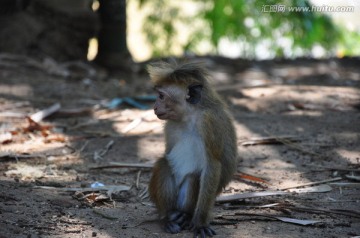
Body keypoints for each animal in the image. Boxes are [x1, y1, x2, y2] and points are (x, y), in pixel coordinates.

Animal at [148, 61, 238, 236]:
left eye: (161, 96)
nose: (154, 107)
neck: (189, 117)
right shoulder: (170, 126)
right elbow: (168, 154)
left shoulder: (209, 123)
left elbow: (213, 165)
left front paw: (200, 223)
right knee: (164, 163)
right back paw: (168, 217)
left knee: (193, 177)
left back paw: (185, 215)